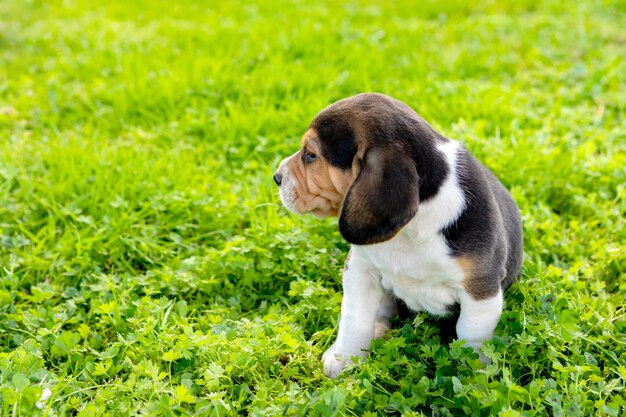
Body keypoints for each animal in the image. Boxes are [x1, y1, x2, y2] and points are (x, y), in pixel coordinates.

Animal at [272, 92, 520, 376]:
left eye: (311, 155)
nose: (276, 177)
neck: (413, 225)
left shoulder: (481, 288)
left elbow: (471, 334)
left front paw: (475, 371)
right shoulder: (360, 269)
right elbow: (354, 319)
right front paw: (343, 358)